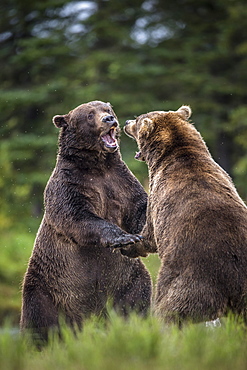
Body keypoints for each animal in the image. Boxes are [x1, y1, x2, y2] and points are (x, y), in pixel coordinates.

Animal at [20, 99, 152, 342]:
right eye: (90, 115)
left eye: (107, 109)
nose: (109, 119)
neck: (97, 166)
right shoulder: (71, 184)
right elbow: (76, 216)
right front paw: (123, 238)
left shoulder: (121, 183)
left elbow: (139, 209)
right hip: (46, 288)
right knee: (39, 322)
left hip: (128, 283)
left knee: (136, 304)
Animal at [123, 105, 247, 326]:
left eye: (137, 121)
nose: (126, 122)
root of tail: (231, 277)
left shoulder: (158, 197)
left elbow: (150, 235)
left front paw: (129, 245)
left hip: (188, 278)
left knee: (170, 309)